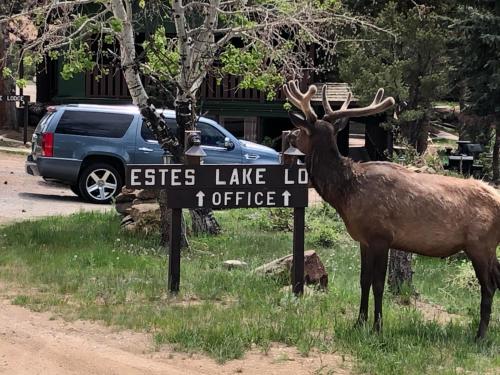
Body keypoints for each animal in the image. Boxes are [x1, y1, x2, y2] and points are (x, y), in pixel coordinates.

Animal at [284, 81, 500, 340]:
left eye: (302, 130)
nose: (289, 135)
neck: (346, 194)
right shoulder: (363, 240)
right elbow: (364, 280)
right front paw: (358, 322)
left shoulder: (381, 236)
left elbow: (378, 284)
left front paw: (377, 328)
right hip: (488, 247)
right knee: (498, 280)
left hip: (480, 244)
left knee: (488, 285)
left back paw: (480, 335)